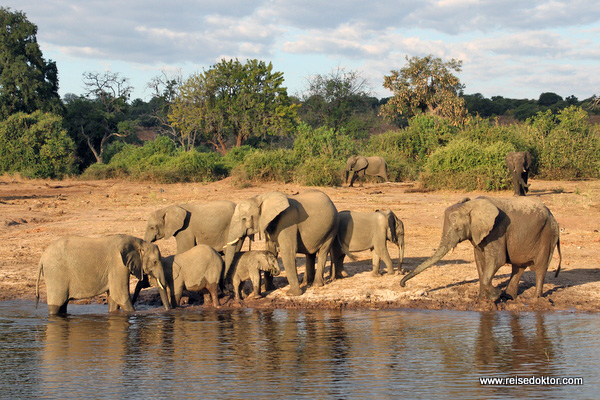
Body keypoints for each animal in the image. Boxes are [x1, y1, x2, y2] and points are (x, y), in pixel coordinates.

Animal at [35, 234, 171, 316]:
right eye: (155, 262)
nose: (168, 311)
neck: (138, 242)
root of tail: (42, 258)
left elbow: (113, 298)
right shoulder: (118, 265)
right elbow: (120, 295)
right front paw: (131, 312)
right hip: (55, 274)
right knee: (57, 304)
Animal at [398, 195, 564, 302]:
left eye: (457, 229)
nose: (403, 284)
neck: (471, 206)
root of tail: (552, 215)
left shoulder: (497, 230)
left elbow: (497, 260)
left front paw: (494, 296)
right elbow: (479, 261)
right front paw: (482, 299)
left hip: (547, 233)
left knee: (540, 267)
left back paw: (535, 300)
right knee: (518, 267)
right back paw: (508, 297)